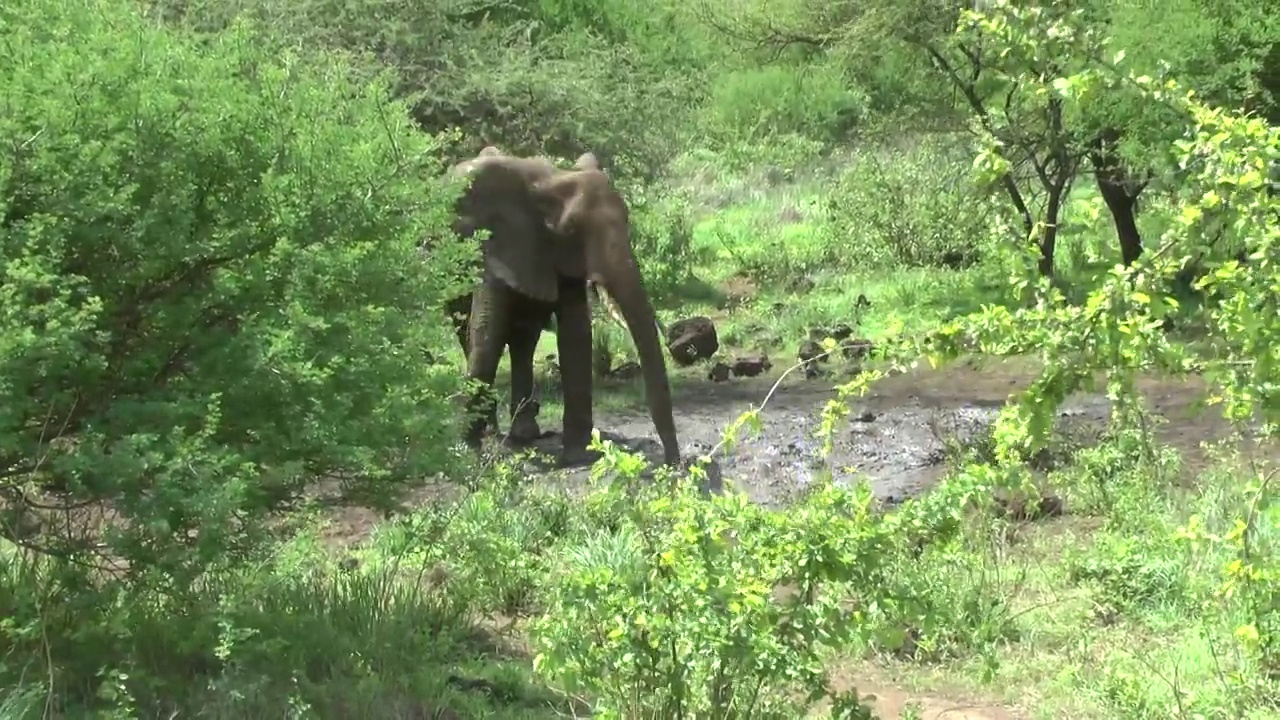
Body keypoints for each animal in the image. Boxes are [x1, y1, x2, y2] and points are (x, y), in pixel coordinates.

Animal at [445, 148, 680, 468]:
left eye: (627, 220)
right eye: (571, 229)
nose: (674, 463)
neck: (552, 181)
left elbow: (576, 333)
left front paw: (579, 457)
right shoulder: (495, 246)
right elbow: (486, 329)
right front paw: (467, 453)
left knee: (524, 338)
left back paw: (525, 433)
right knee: (468, 330)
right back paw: (495, 432)